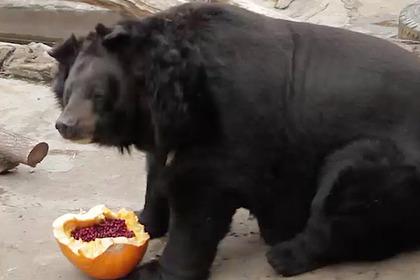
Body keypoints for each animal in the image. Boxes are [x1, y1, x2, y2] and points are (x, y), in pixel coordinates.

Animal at [49, 2, 420, 280]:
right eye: (69, 91)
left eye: (98, 94)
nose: (66, 125)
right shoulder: (168, 132)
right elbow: (157, 174)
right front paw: (142, 221)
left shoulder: (227, 125)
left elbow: (200, 201)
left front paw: (155, 270)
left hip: (385, 159)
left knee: (342, 197)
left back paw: (285, 254)